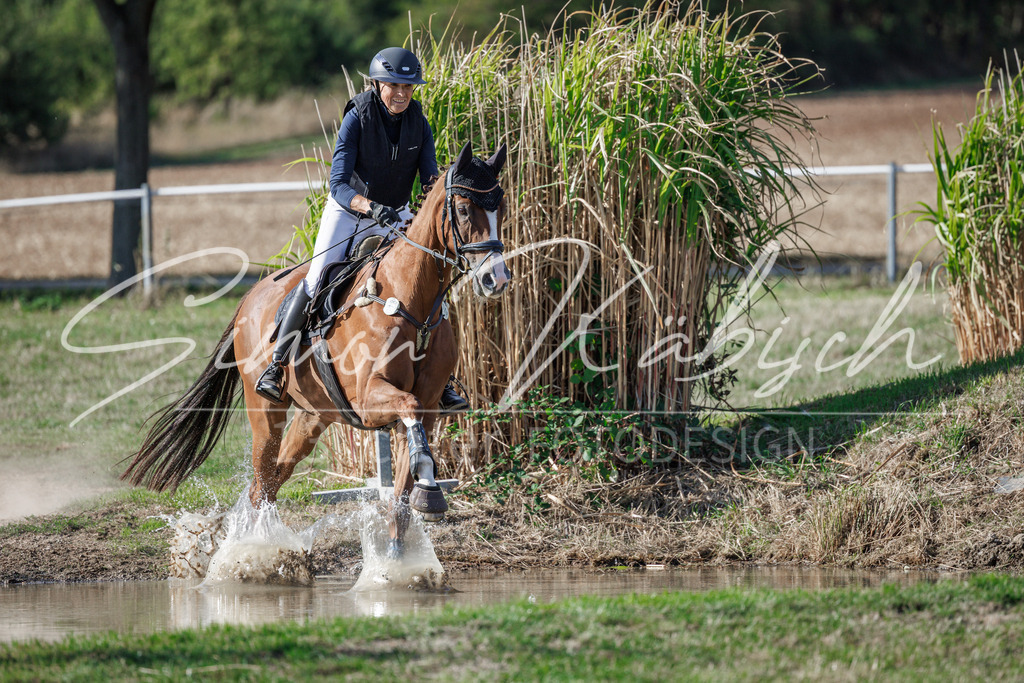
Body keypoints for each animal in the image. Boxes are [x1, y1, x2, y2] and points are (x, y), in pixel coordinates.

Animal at [121, 142, 511, 555]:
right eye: (465, 209)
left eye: (501, 207)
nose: (496, 278)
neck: (411, 302)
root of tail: (250, 297)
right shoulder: (369, 400)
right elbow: (408, 413)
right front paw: (430, 493)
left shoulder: (429, 406)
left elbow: (402, 497)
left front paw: (402, 548)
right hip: (266, 412)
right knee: (263, 479)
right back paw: (257, 550)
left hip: (313, 415)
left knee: (270, 482)